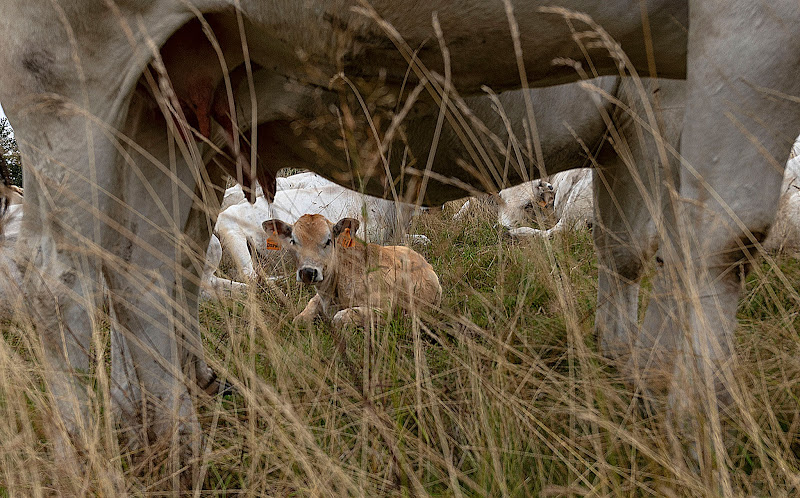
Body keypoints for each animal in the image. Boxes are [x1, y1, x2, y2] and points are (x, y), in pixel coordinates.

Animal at [262, 213, 440, 326]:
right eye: (293, 240)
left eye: (328, 240)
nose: (308, 272)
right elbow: (300, 318)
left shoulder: (385, 310)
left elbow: (339, 318)